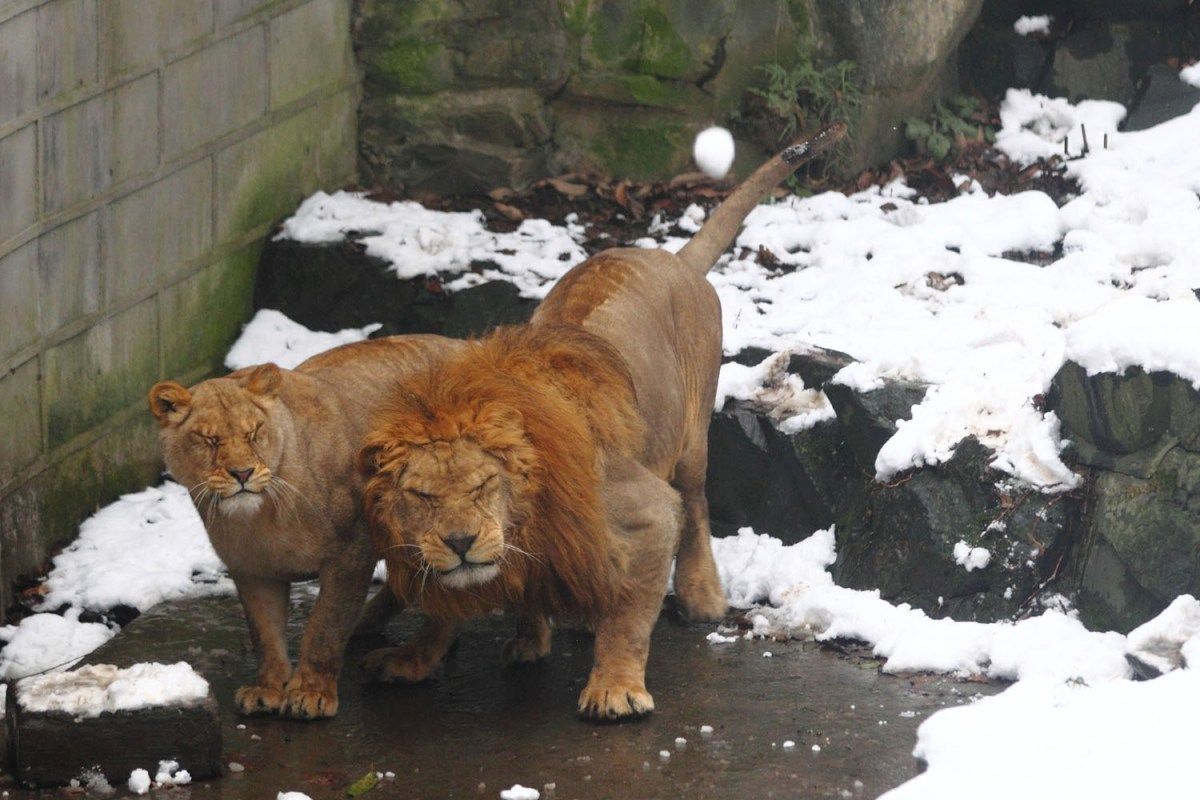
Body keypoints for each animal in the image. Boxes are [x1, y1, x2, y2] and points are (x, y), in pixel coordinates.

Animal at [141, 335, 458, 724]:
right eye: (209, 440)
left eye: (253, 433)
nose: (242, 473)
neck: (262, 516)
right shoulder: (252, 568)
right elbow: (264, 633)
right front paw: (268, 688)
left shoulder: (351, 551)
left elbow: (325, 627)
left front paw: (311, 692)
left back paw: (408, 661)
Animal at [355, 125, 844, 719]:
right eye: (421, 496)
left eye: (484, 484)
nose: (460, 541)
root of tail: (674, 260)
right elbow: (445, 606)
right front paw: (414, 657)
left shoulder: (649, 510)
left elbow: (629, 617)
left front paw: (614, 688)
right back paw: (532, 635)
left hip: (691, 436)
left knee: (697, 501)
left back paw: (701, 597)